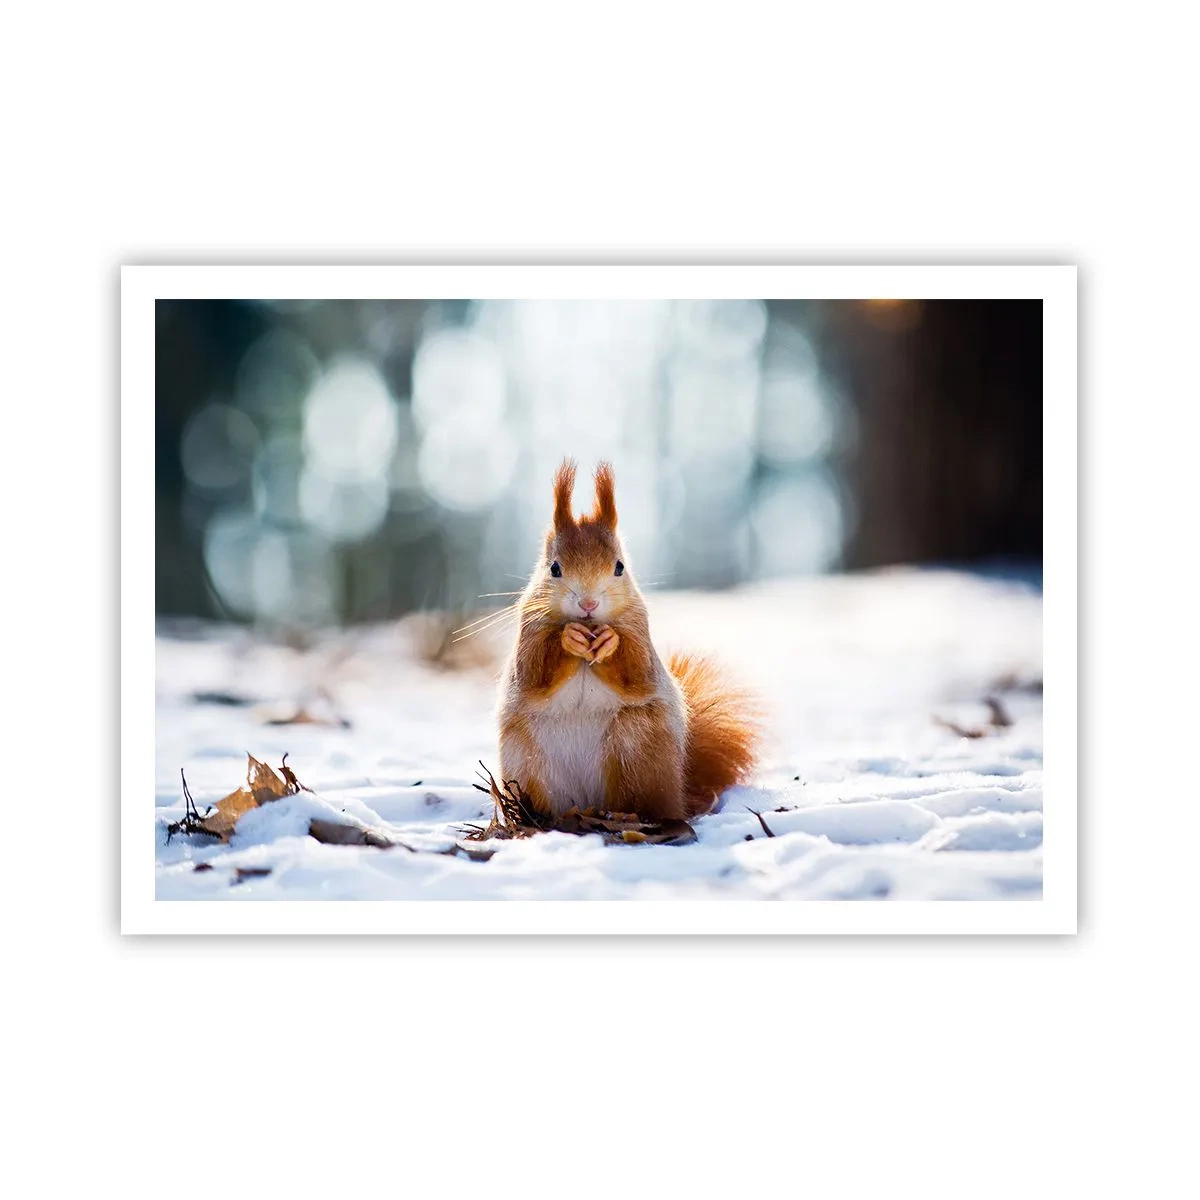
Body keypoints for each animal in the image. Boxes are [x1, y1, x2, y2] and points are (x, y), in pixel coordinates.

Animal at [497, 459, 760, 822]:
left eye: (619, 566)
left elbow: (637, 673)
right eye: (554, 569)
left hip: (636, 746)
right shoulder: (529, 632)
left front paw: (610, 642)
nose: (588, 604)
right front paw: (568, 638)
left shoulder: (639, 632)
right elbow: (534, 674)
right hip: (526, 760)